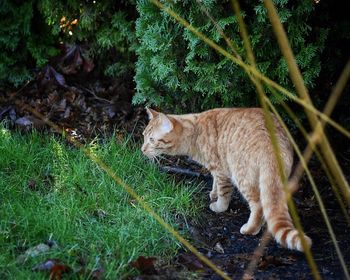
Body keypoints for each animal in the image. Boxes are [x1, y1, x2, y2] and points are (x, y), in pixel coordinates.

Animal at [142, 107, 312, 252]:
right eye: (143, 136)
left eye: (151, 140)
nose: (142, 149)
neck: (195, 132)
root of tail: (272, 144)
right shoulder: (216, 169)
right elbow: (215, 183)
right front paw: (213, 194)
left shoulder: (221, 170)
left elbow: (223, 192)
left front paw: (219, 206)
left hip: (241, 176)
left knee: (258, 205)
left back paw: (250, 229)